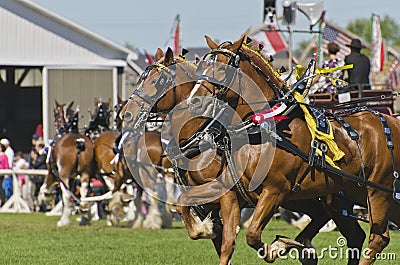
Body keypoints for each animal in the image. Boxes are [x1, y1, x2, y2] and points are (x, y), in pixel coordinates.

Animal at [123, 47, 370, 262]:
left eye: (155, 81)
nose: (126, 113)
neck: (204, 133)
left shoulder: (222, 194)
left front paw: (207, 228)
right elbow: (215, 238)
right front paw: (208, 229)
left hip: (332, 198)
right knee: (342, 228)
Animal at [185, 34, 400, 262]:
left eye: (222, 69)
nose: (194, 101)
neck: (264, 128)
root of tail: (392, 121)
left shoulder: (275, 191)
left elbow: (252, 235)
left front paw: (282, 245)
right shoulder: (231, 195)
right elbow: (227, 243)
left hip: (377, 190)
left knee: (378, 239)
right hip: (356, 190)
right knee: (358, 235)